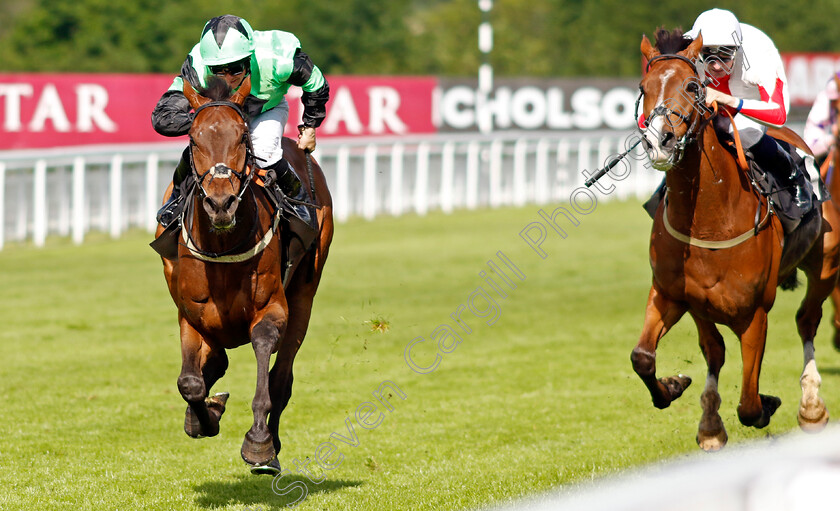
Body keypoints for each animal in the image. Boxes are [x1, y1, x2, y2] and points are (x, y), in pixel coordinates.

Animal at [156, 75, 334, 472]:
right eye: (194, 138)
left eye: (241, 137)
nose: (221, 203)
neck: (224, 244)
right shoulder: (189, 313)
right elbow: (189, 382)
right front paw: (203, 417)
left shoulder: (272, 308)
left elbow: (265, 359)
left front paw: (259, 443)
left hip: (305, 294)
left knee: (281, 378)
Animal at [632, 29, 836, 452]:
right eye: (644, 89)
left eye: (692, 86)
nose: (660, 141)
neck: (709, 222)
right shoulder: (675, 296)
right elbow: (644, 357)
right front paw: (678, 390)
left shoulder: (754, 312)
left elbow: (749, 403)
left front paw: (768, 403)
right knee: (716, 352)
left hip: (826, 264)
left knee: (807, 320)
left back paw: (811, 407)